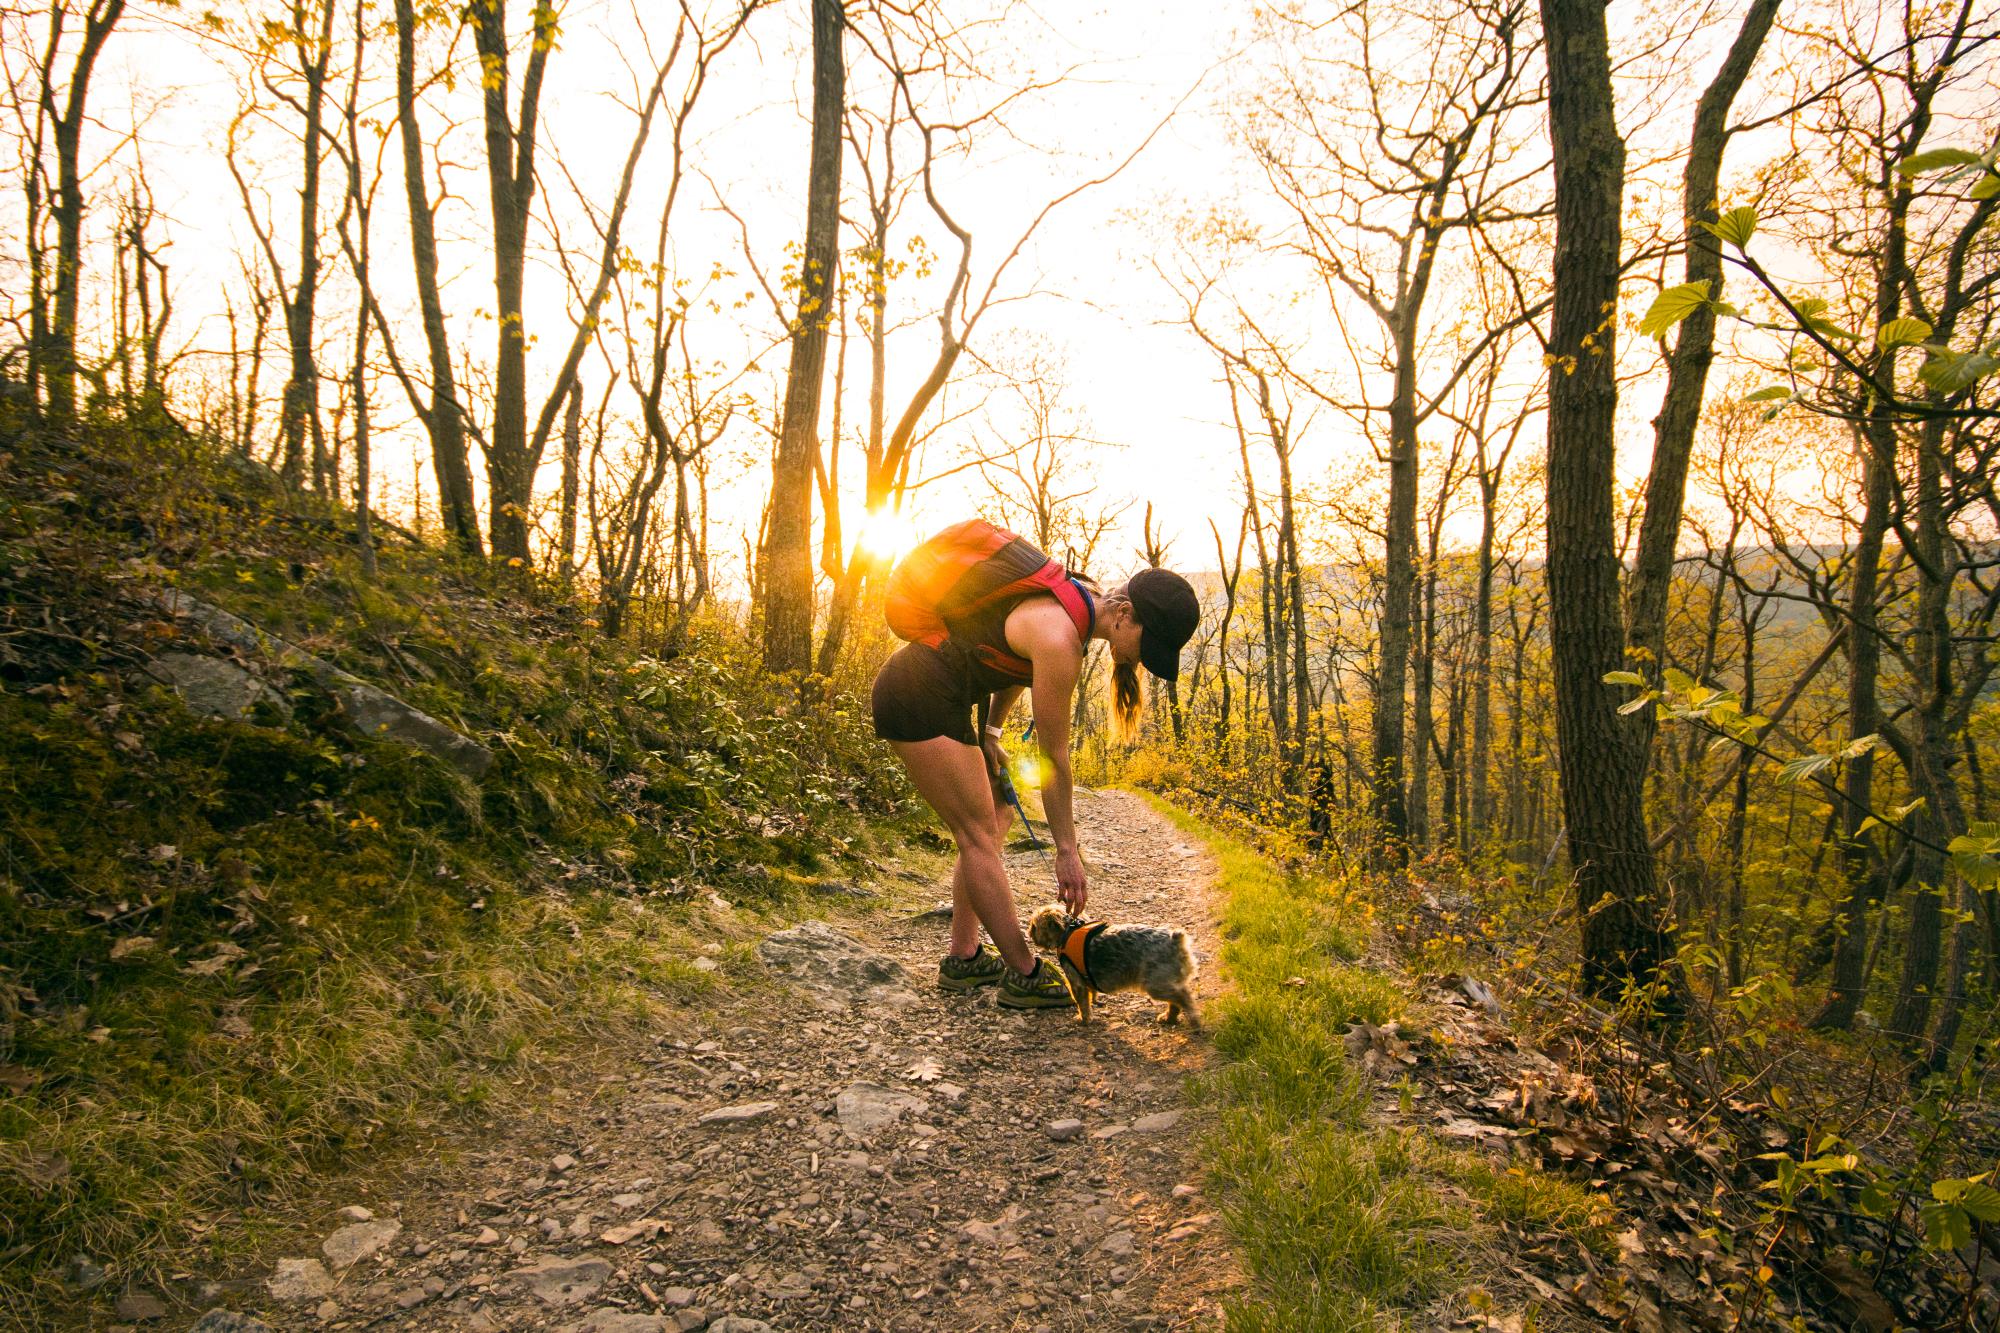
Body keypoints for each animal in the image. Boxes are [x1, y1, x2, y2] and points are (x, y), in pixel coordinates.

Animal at [1024, 904, 1192, 1024]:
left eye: (1034, 926)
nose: (1028, 933)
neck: (1069, 931)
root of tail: (1175, 941)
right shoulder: (1086, 976)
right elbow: (1091, 992)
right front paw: (1094, 1001)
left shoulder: (1075, 979)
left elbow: (1082, 1002)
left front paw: (1084, 1019)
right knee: (1176, 1002)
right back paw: (1169, 1018)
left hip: (1156, 983)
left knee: (1182, 997)